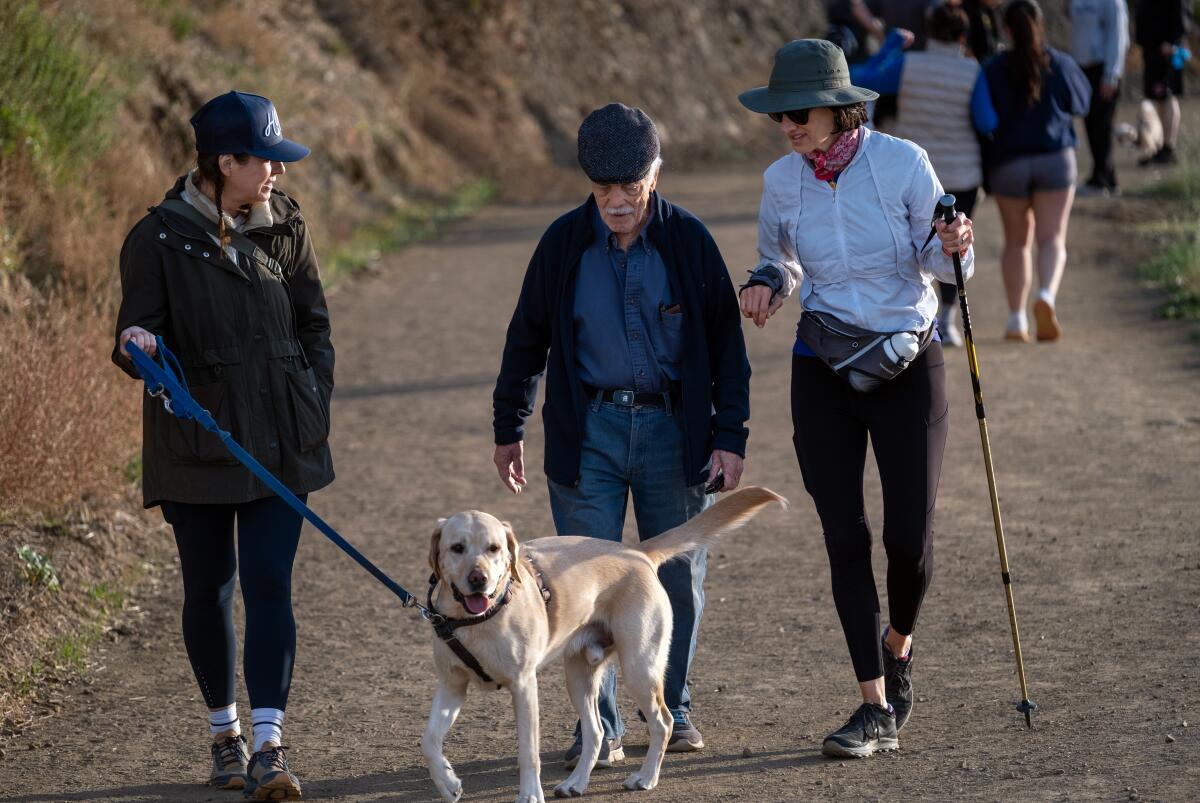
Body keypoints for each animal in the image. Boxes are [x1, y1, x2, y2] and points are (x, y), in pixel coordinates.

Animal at [422, 484, 787, 796]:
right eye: (457, 548)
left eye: (494, 548)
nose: (478, 579)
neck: (477, 620)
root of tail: (636, 552)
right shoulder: (452, 686)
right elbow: (429, 740)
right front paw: (448, 783)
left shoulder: (524, 686)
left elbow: (528, 752)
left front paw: (530, 796)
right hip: (579, 676)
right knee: (597, 732)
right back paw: (576, 783)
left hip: (640, 667)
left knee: (663, 722)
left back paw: (645, 778)